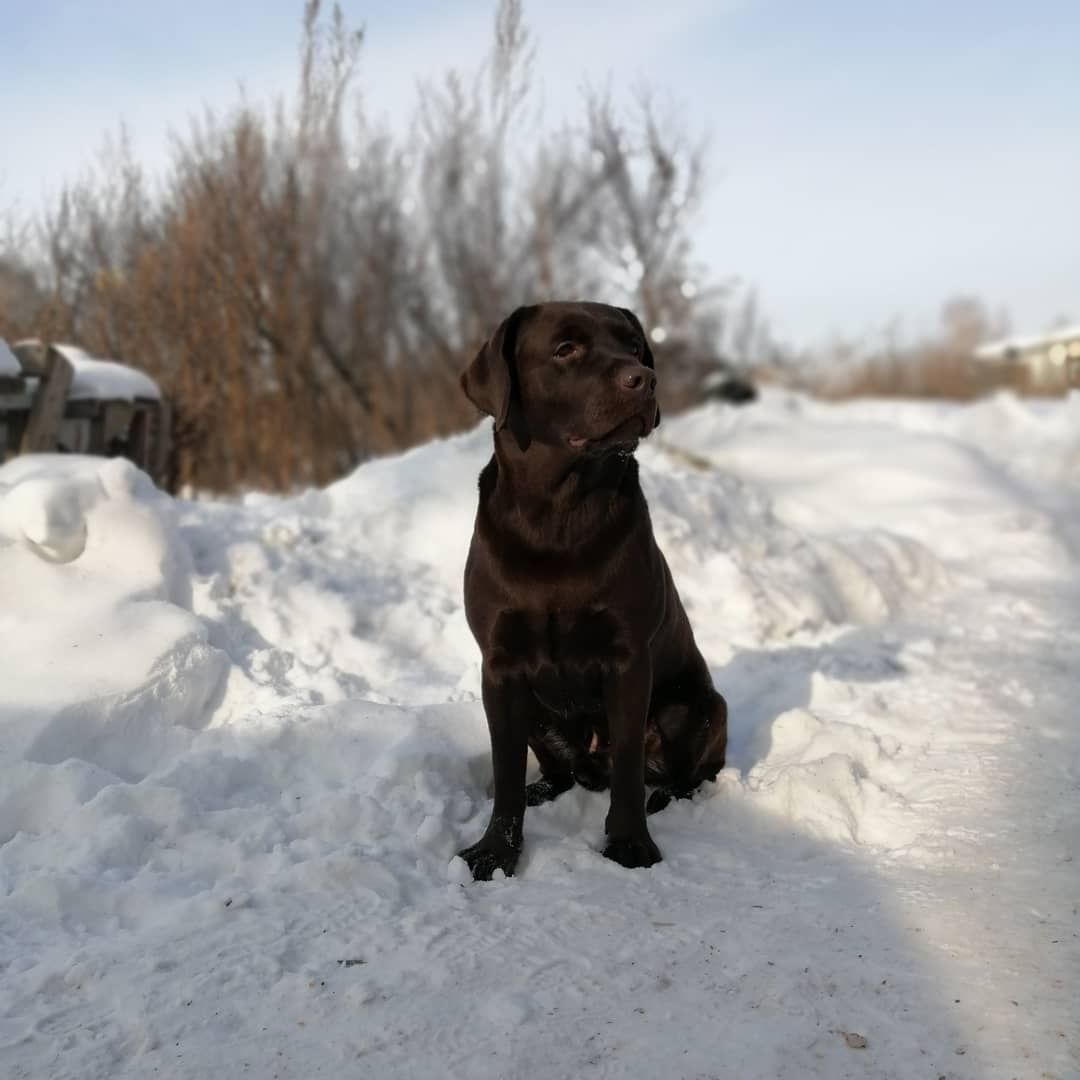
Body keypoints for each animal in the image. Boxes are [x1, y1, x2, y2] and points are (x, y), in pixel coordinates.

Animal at [455, 302, 725, 876]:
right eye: (565, 349)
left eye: (634, 346)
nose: (643, 379)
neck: (557, 515)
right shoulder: (500, 668)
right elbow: (505, 772)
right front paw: (495, 853)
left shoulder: (628, 660)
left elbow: (627, 768)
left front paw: (629, 844)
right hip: (537, 714)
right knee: (559, 772)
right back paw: (543, 790)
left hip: (699, 708)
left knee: (687, 774)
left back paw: (665, 798)